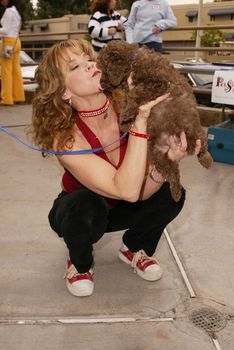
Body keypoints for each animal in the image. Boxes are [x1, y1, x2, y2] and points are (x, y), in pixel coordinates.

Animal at [97, 40, 212, 201]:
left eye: (103, 70)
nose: (100, 84)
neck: (133, 61)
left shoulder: (157, 82)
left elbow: (134, 94)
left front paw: (126, 116)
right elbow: (126, 99)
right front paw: (125, 123)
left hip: (195, 133)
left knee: (202, 148)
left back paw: (207, 161)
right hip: (156, 153)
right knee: (171, 170)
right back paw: (176, 193)